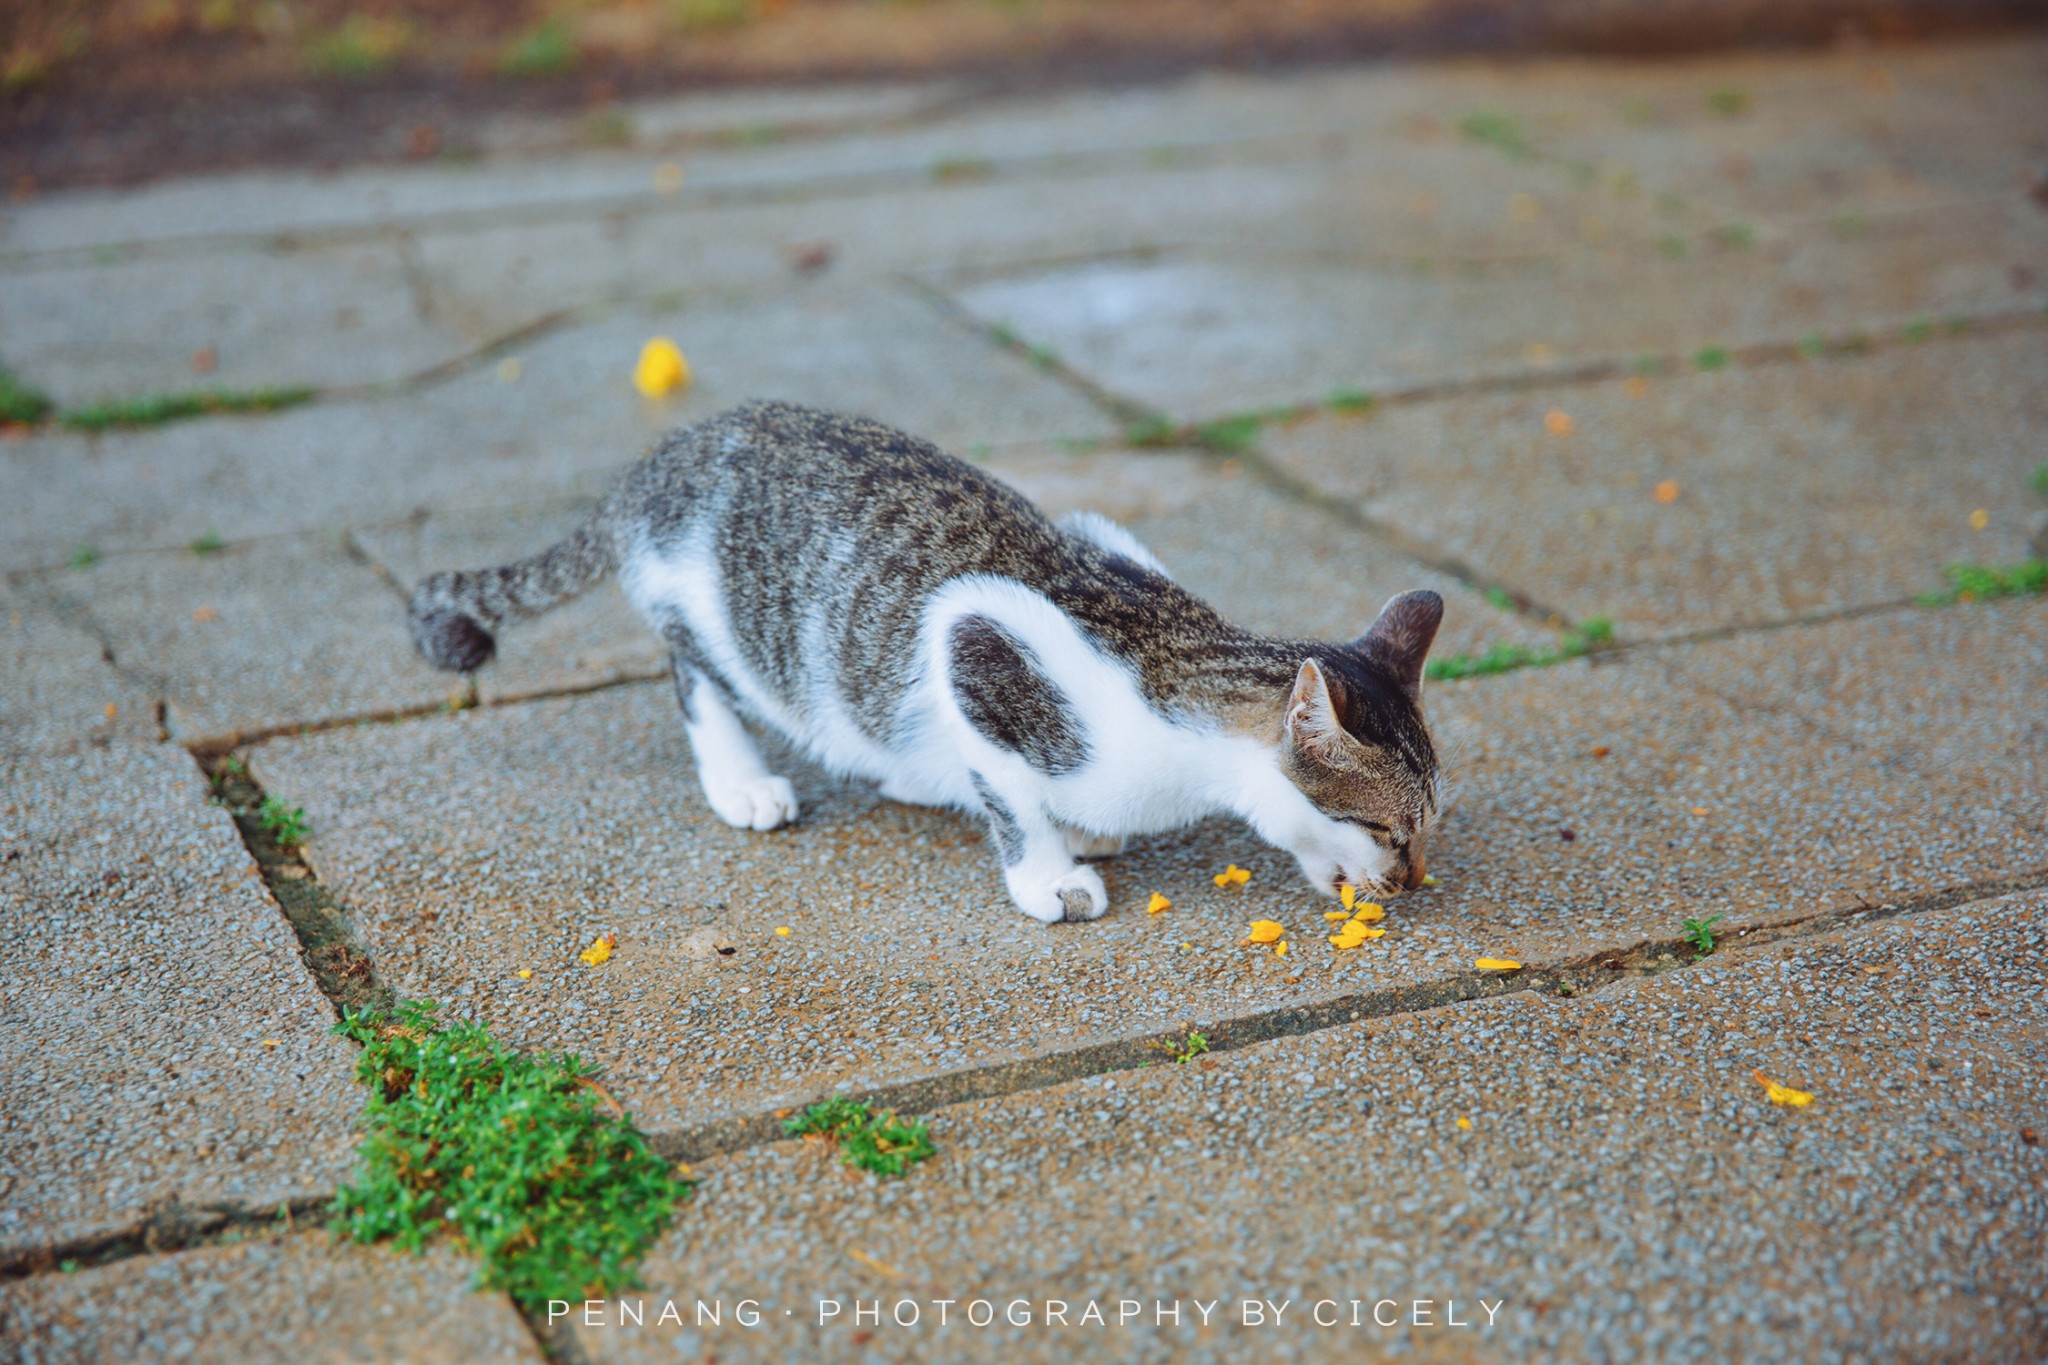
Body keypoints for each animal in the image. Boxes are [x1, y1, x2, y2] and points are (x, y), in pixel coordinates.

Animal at [407, 401, 1449, 925]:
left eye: (1426, 828)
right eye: (1388, 830)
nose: (1412, 884)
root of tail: (657, 461)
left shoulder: (1102, 535)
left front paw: (1084, 827)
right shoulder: (977, 646)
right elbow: (1010, 790)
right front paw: (1050, 874)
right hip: (717, 616)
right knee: (694, 669)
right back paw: (743, 779)